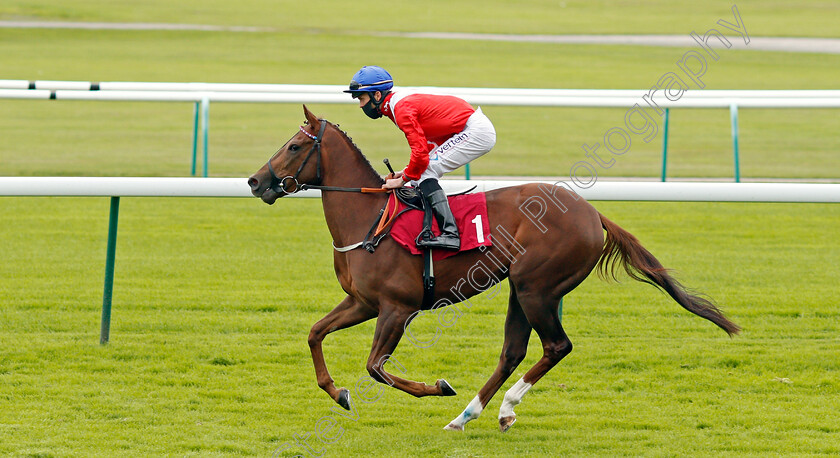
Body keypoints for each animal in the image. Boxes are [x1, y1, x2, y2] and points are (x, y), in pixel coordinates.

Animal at [246, 107, 740, 432]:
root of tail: (592, 212)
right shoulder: (361, 302)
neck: (368, 219)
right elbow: (315, 333)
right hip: (522, 289)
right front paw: (339, 393)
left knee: (556, 346)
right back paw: (470, 414)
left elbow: (375, 367)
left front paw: (437, 385)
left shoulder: (397, 308)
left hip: (536, 286)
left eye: (294, 146)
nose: (254, 181)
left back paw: (492, 407)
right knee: (514, 351)